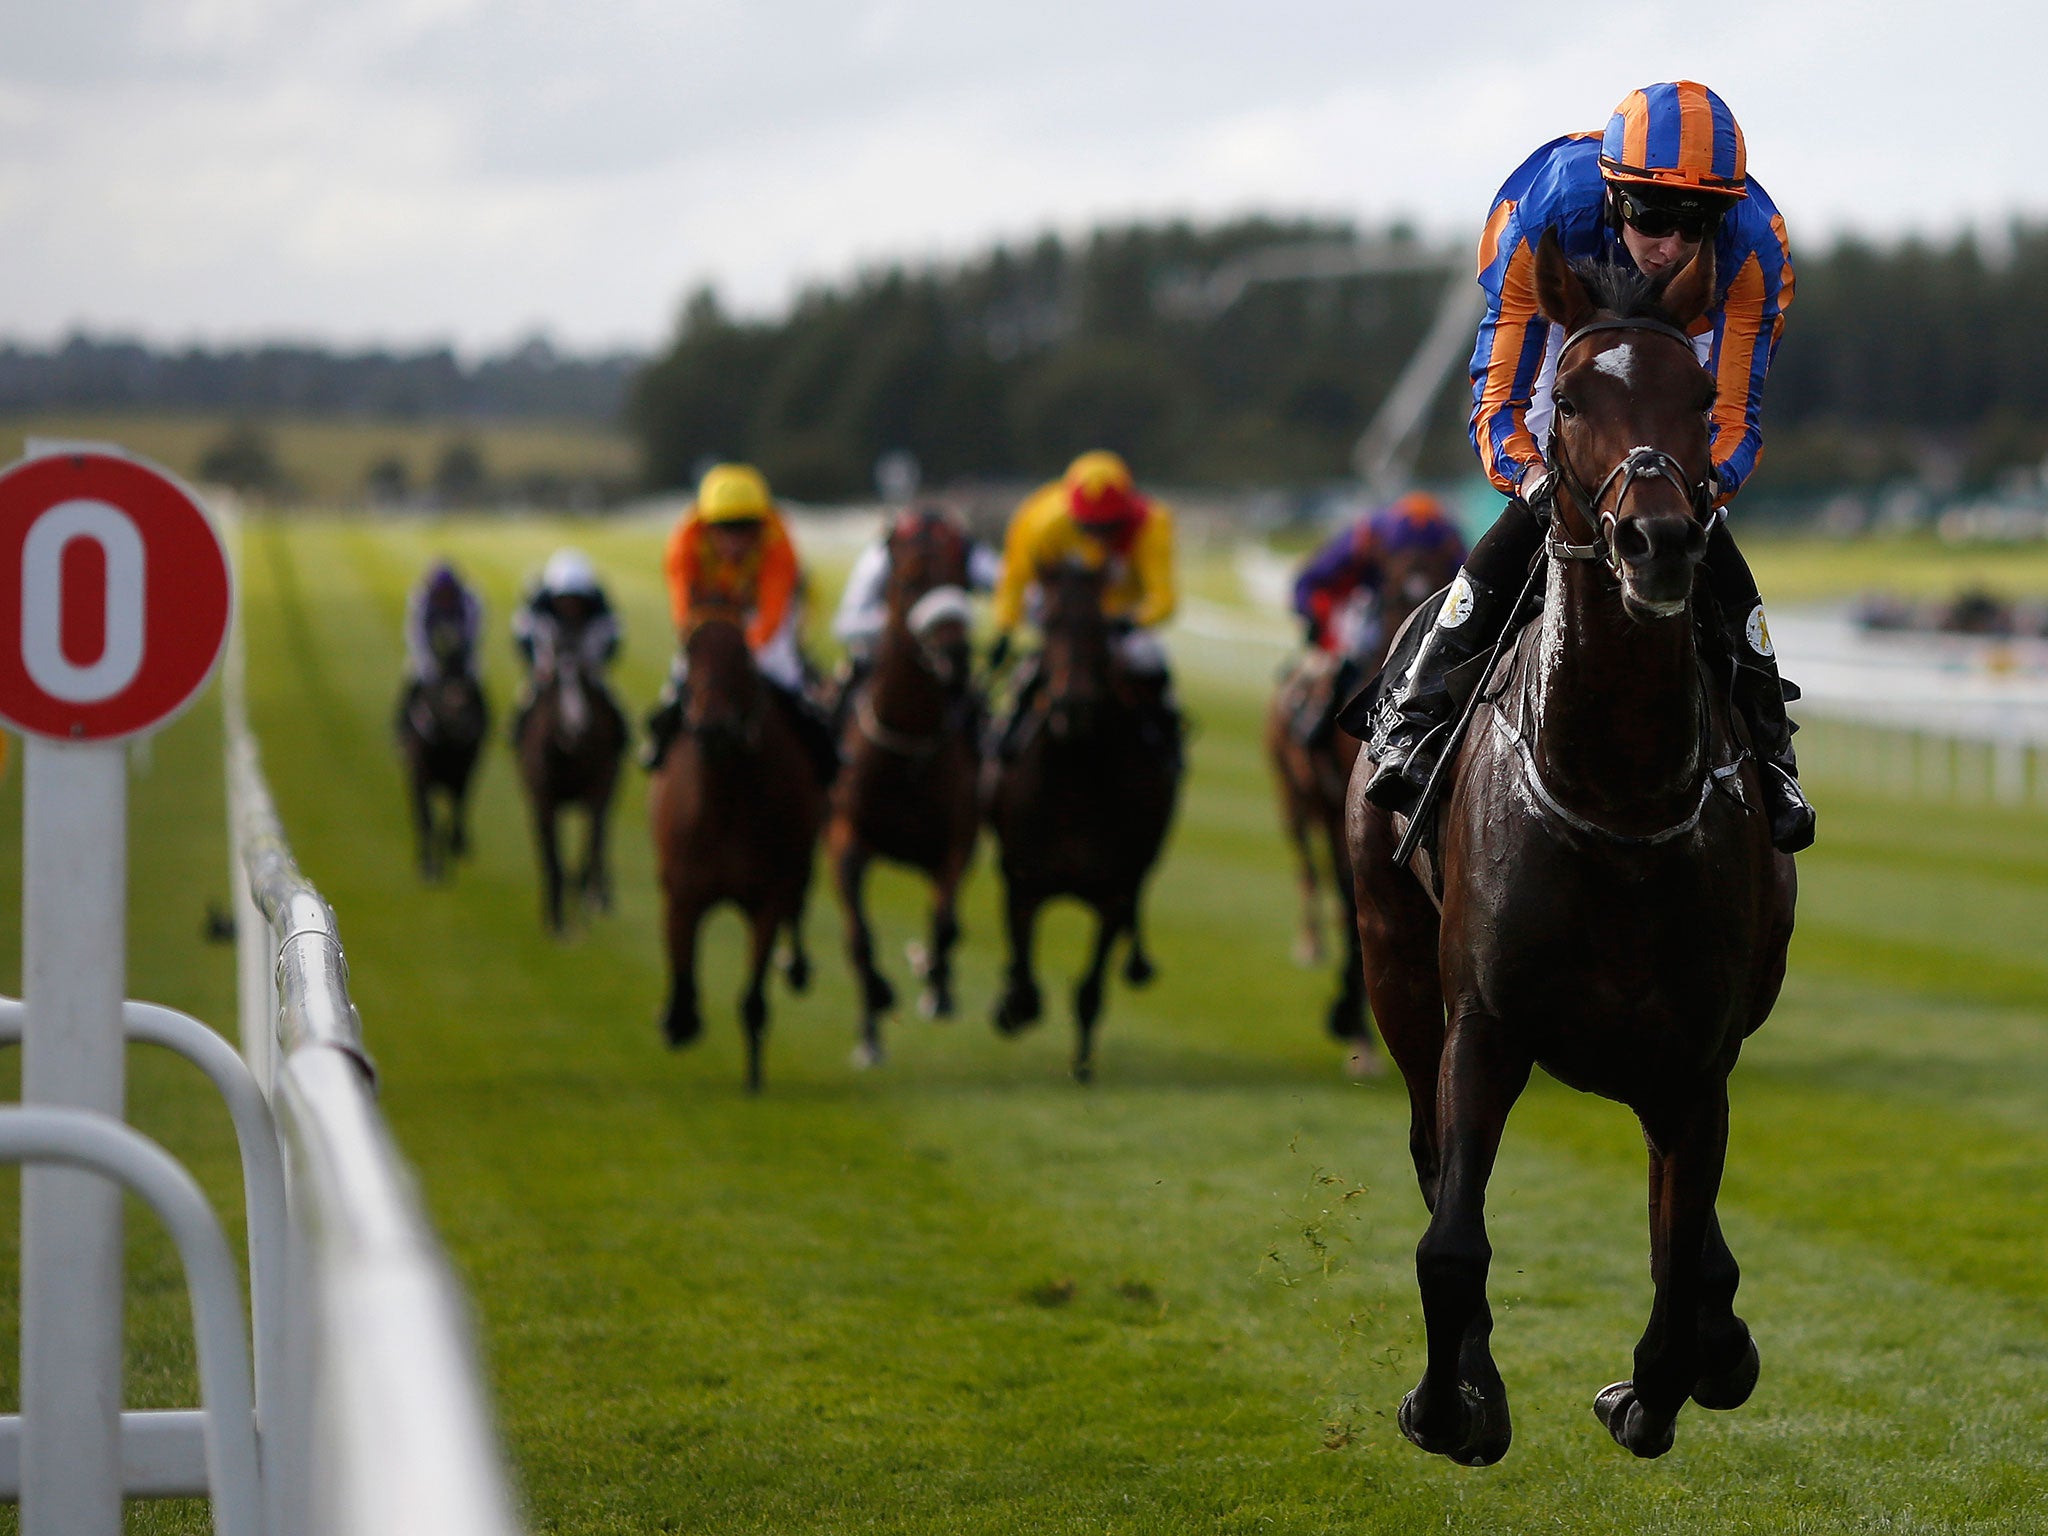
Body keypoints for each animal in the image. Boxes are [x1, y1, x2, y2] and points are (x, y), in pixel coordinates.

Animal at [512, 626, 622, 937]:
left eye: (584, 679)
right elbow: (553, 858)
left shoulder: (599, 789)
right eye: (555, 684)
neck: (570, 756)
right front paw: (557, 918)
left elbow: (592, 844)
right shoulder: (544, 799)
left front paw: (589, 900)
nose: (576, 728)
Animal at [647, 614, 823, 1097]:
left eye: (743, 659)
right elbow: (682, 968)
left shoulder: (768, 896)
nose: (713, 730)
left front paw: (754, 1077)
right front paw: (678, 1019)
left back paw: (796, 965)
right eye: (690, 655)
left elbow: (753, 998)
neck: (725, 803)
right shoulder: (683, 892)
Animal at [823, 518, 974, 1073]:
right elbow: (860, 938)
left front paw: (934, 984)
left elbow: (946, 922)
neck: (907, 740)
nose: (955, 656)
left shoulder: (955, 842)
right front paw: (876, 1011)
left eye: (962, 579)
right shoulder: (847, 838)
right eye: (910, 581)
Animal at [983, 561, 1179, 1081]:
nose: (1074, 706)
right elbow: (1023, 979)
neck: (1074, 777)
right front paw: (1011, 1006)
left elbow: (1090, 988)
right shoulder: (1023, 881)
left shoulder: (1113, 890)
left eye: (1101, 626)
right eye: (1048, 620)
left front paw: (1083, 1063)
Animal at [1351, 234, 1802, 1474]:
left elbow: (1677, 1254)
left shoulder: (1695, 1058)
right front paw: (1452, 1402)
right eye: (1568, 402)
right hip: (1392, 963)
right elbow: (1449, 1239)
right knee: (1425, 1152)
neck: (1616, 791)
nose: (1658, 540)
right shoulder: (1482, 1022)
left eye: (1696, 400)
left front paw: (1652, 1391)